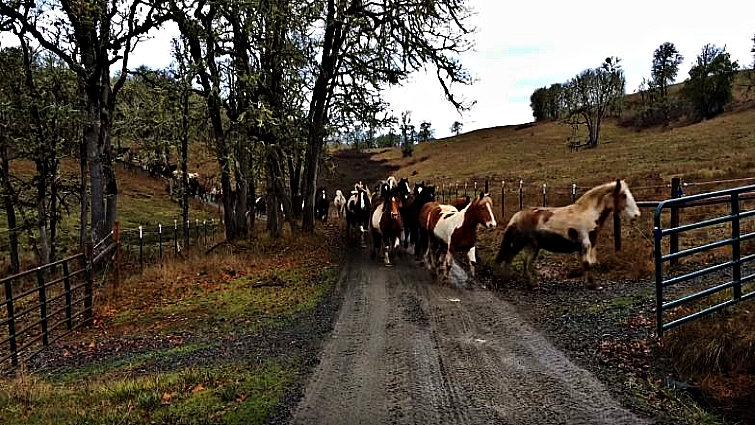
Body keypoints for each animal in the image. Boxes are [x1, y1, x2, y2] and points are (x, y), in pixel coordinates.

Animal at [500, 179, 640, 288]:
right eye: (624, 195)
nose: (636, 215)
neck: (589, 213)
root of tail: (516, 217)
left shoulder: (592, 244)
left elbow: (591, 263)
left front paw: (591, 282)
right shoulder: (585, 244)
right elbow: (587, 263)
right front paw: (592, 284)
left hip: (532, 247)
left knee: (526, 263)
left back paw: (531, 284)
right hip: (519, 244)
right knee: (509, 258)